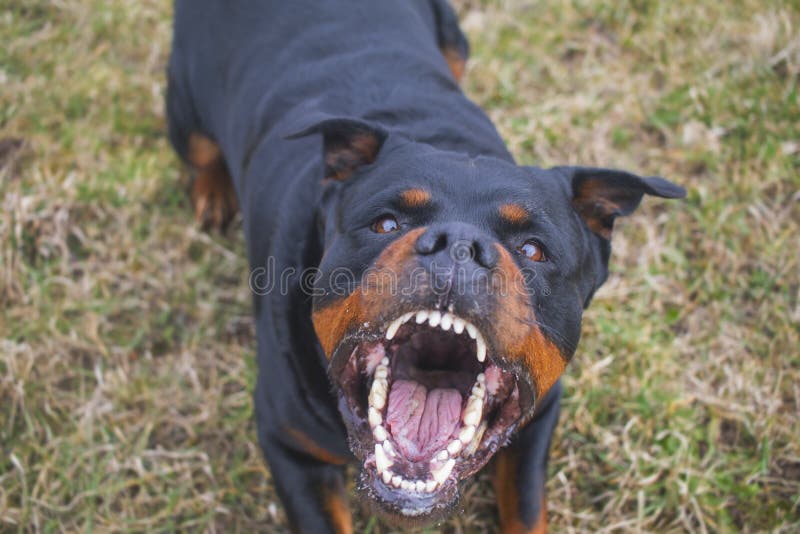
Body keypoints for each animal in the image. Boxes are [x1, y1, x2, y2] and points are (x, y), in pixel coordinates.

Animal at [166, 2, 684, 532]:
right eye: (386, 223)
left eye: (534, 250)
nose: (458, 245)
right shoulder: (289, 444)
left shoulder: (538, 419)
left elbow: (527, 510)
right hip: (186, 115)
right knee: (201, 150)